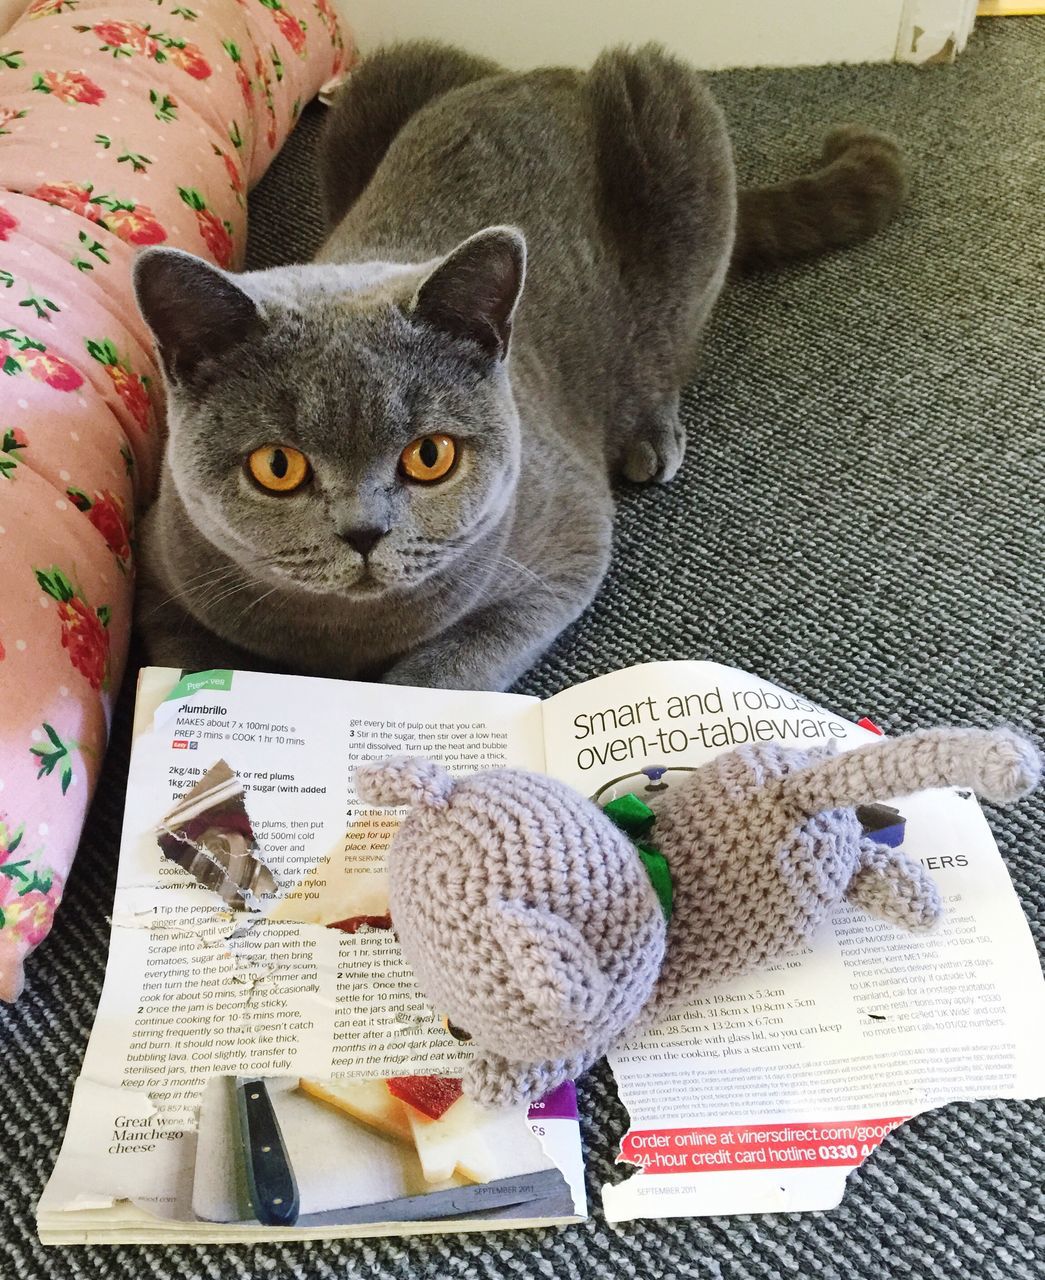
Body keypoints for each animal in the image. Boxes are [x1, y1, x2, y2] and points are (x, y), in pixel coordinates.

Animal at [132, 42, 906, 691]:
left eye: (430, 456)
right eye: (277, 466)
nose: (363, 532)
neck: (349, 640)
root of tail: (551, 72)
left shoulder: (565, 551)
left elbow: (448, 671)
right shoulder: (157, 573)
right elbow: (182, 662)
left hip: (673, 122)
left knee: (670, 343)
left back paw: (650, 435)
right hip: (376, 88)